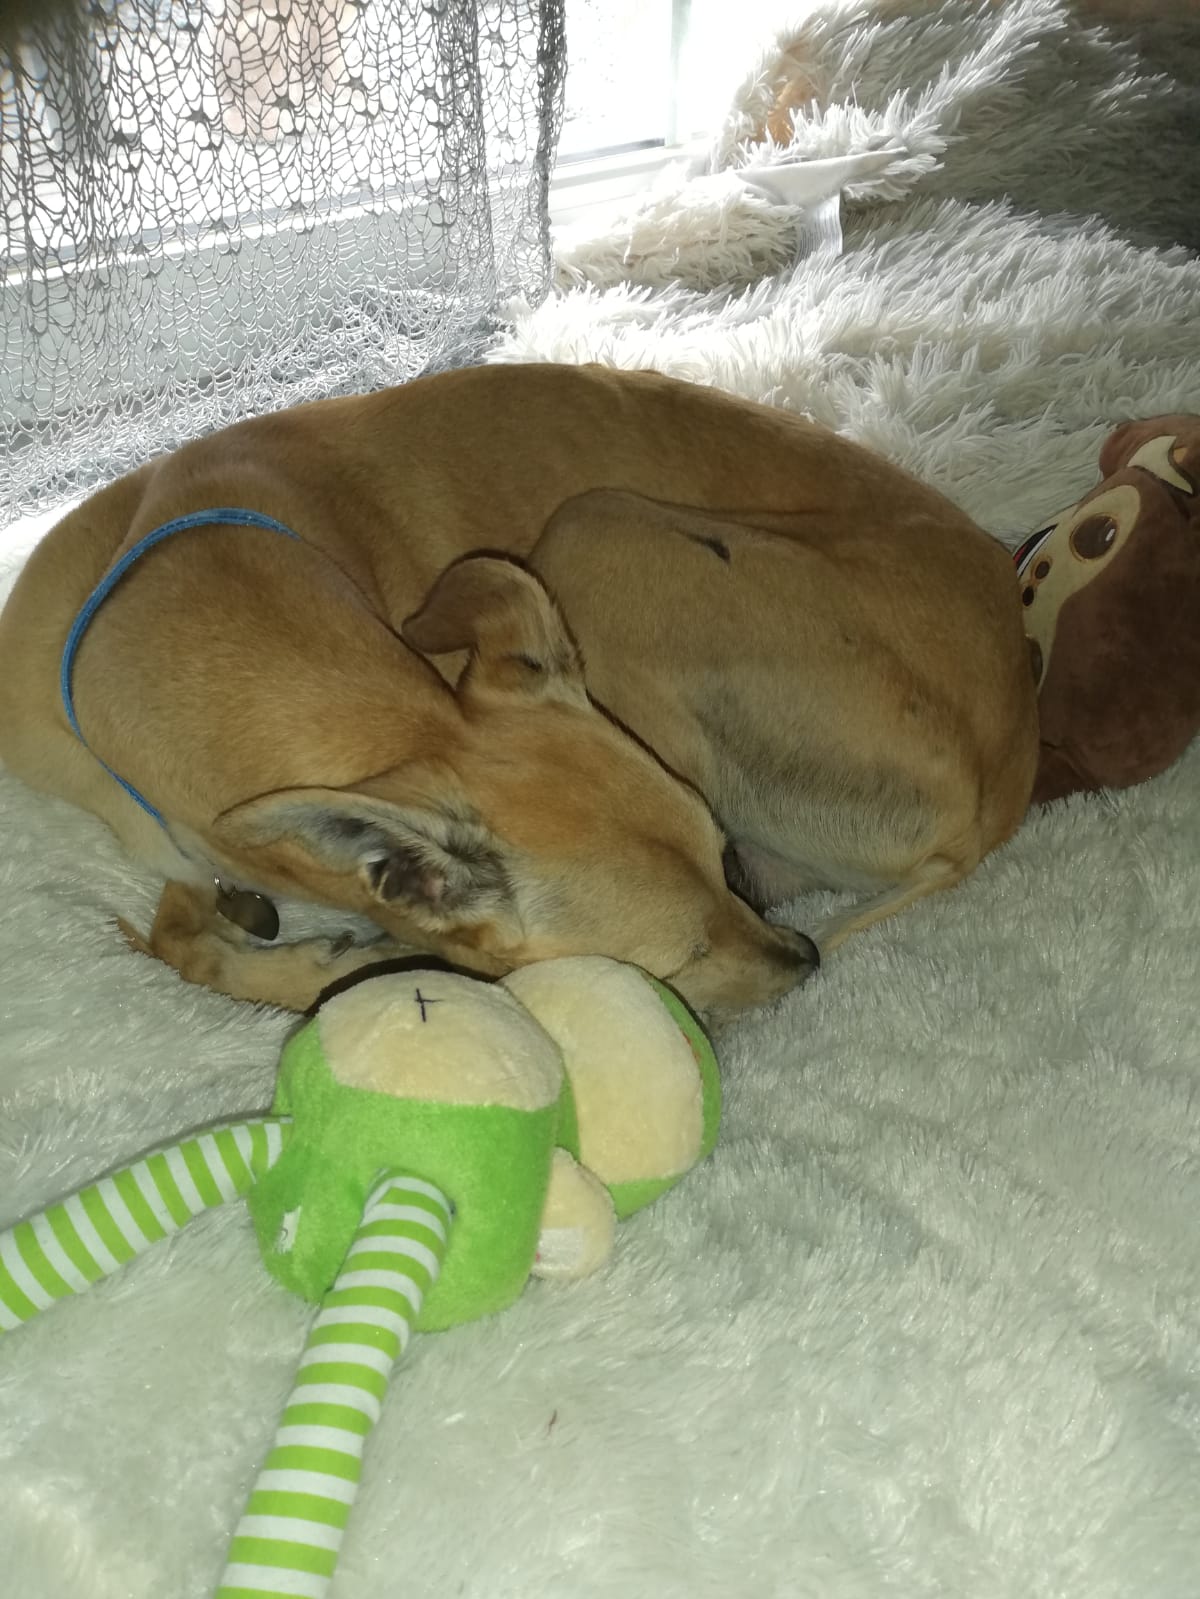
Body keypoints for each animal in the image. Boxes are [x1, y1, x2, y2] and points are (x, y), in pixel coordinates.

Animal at [0, 363, 1038, 1015]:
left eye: (723, 865)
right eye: (685, 957)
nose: (807, 958)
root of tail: (1008, 777)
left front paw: (347, 960)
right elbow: (177, 931)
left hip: (597, 531)